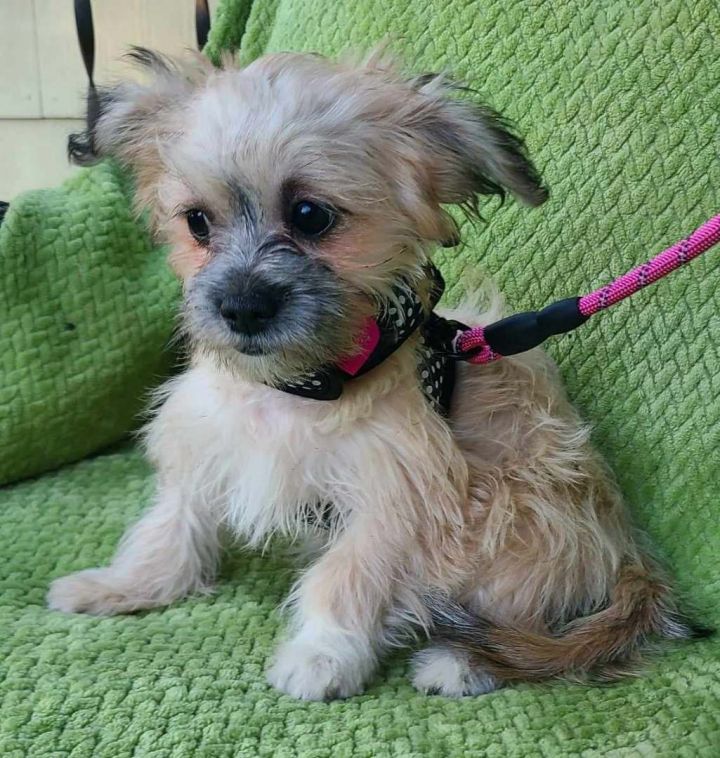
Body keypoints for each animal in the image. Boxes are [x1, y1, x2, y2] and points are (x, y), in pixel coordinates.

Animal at [47, 47, 700, 700]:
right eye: (197, 223)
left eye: (311, 215)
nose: (241, 307)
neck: (301, 386)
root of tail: (631, 557)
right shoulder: (207, 445)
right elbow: (171, 526)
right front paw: (122, 585)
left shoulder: (396, 497)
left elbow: (346, 576)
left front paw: (322, 654)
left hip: (520, 519)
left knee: (530, 625)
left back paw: (461, 663)